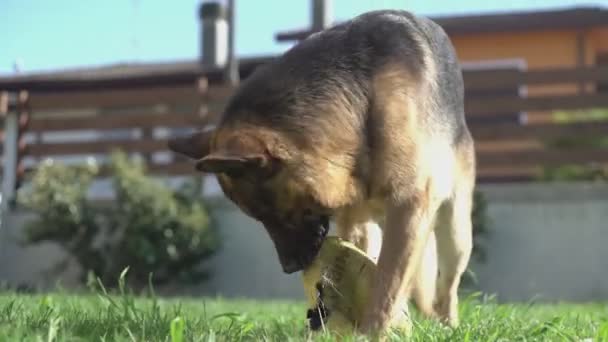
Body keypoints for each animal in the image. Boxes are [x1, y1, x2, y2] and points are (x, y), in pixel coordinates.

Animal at [167, 10, 476, 334]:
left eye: (271, 212)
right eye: (260, 217)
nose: (290, 268)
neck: (361, 103)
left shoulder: (409, 207)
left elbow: (389, 283)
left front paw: (372, 332)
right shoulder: (360, 222)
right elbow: (378, 275)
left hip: (454, 233)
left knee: (447, 285)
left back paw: (449, 323)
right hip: (371, 228)